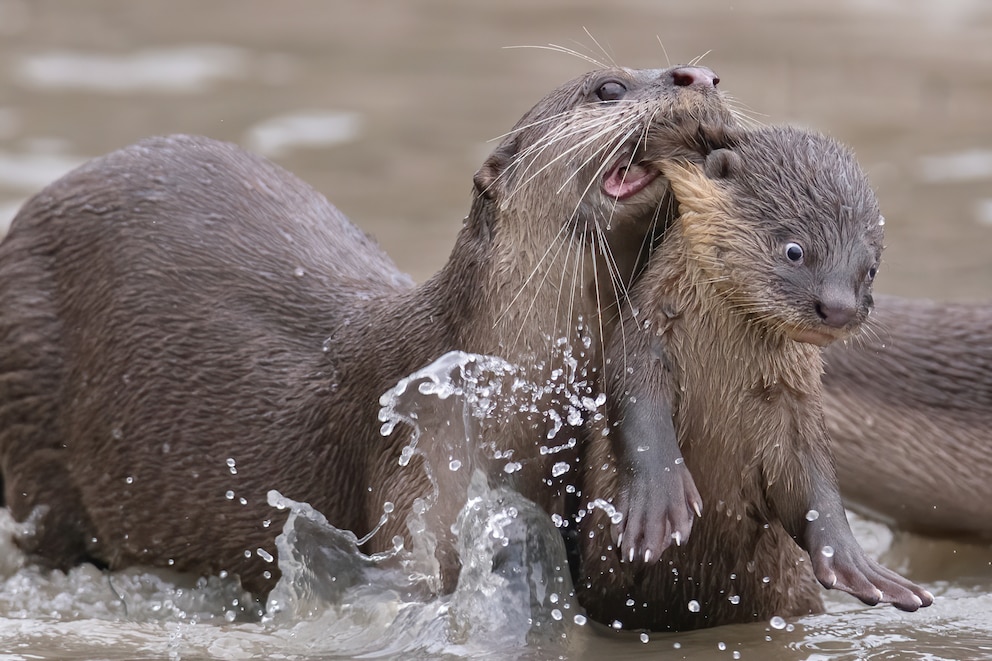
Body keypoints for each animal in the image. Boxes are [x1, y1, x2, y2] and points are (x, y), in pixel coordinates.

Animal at [576, 125, 932, 628]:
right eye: (795, 250)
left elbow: (814, 479)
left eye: (871, 269)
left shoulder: (795, 402)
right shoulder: (644, 341)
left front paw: (855, 563)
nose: (839, 308)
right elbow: (637, 409)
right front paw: (657, 506)